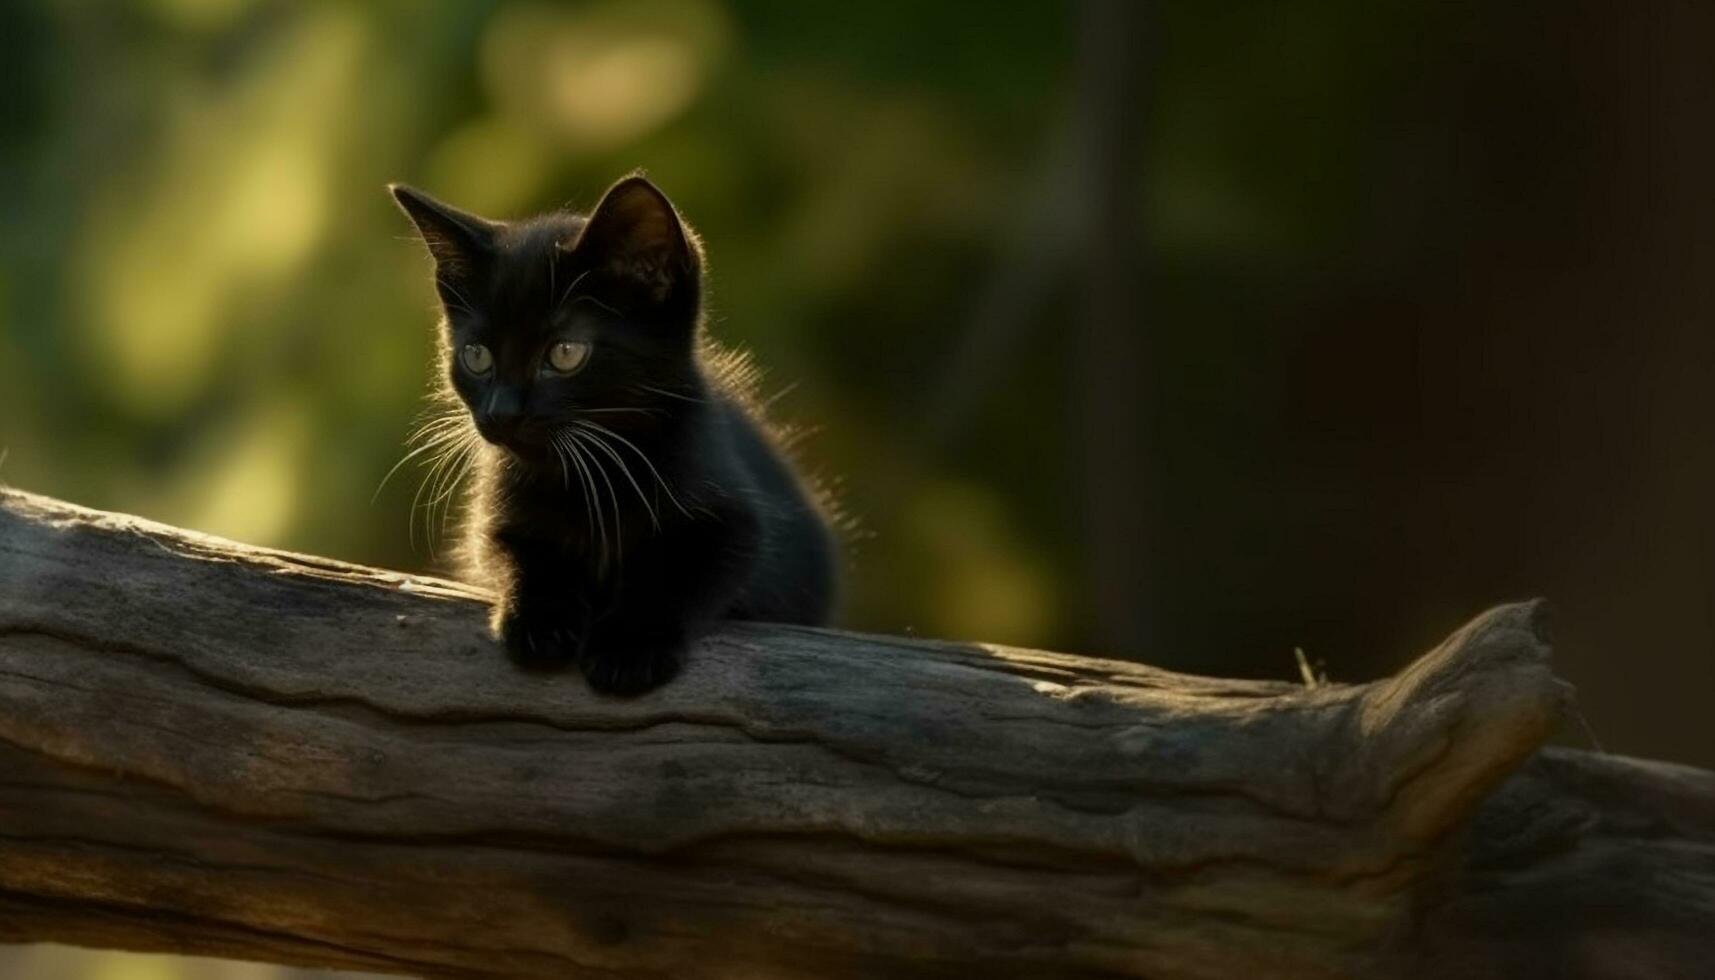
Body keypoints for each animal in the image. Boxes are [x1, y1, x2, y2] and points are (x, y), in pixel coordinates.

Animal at [391, 176, 843, 696]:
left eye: (565, 353)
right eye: (477, 356)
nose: (500, 412)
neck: (596, 473)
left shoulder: (738, 520)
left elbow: (677, 568)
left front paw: (630, 646)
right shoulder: (498, 517)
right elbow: (518, 553)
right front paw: (542, 618)